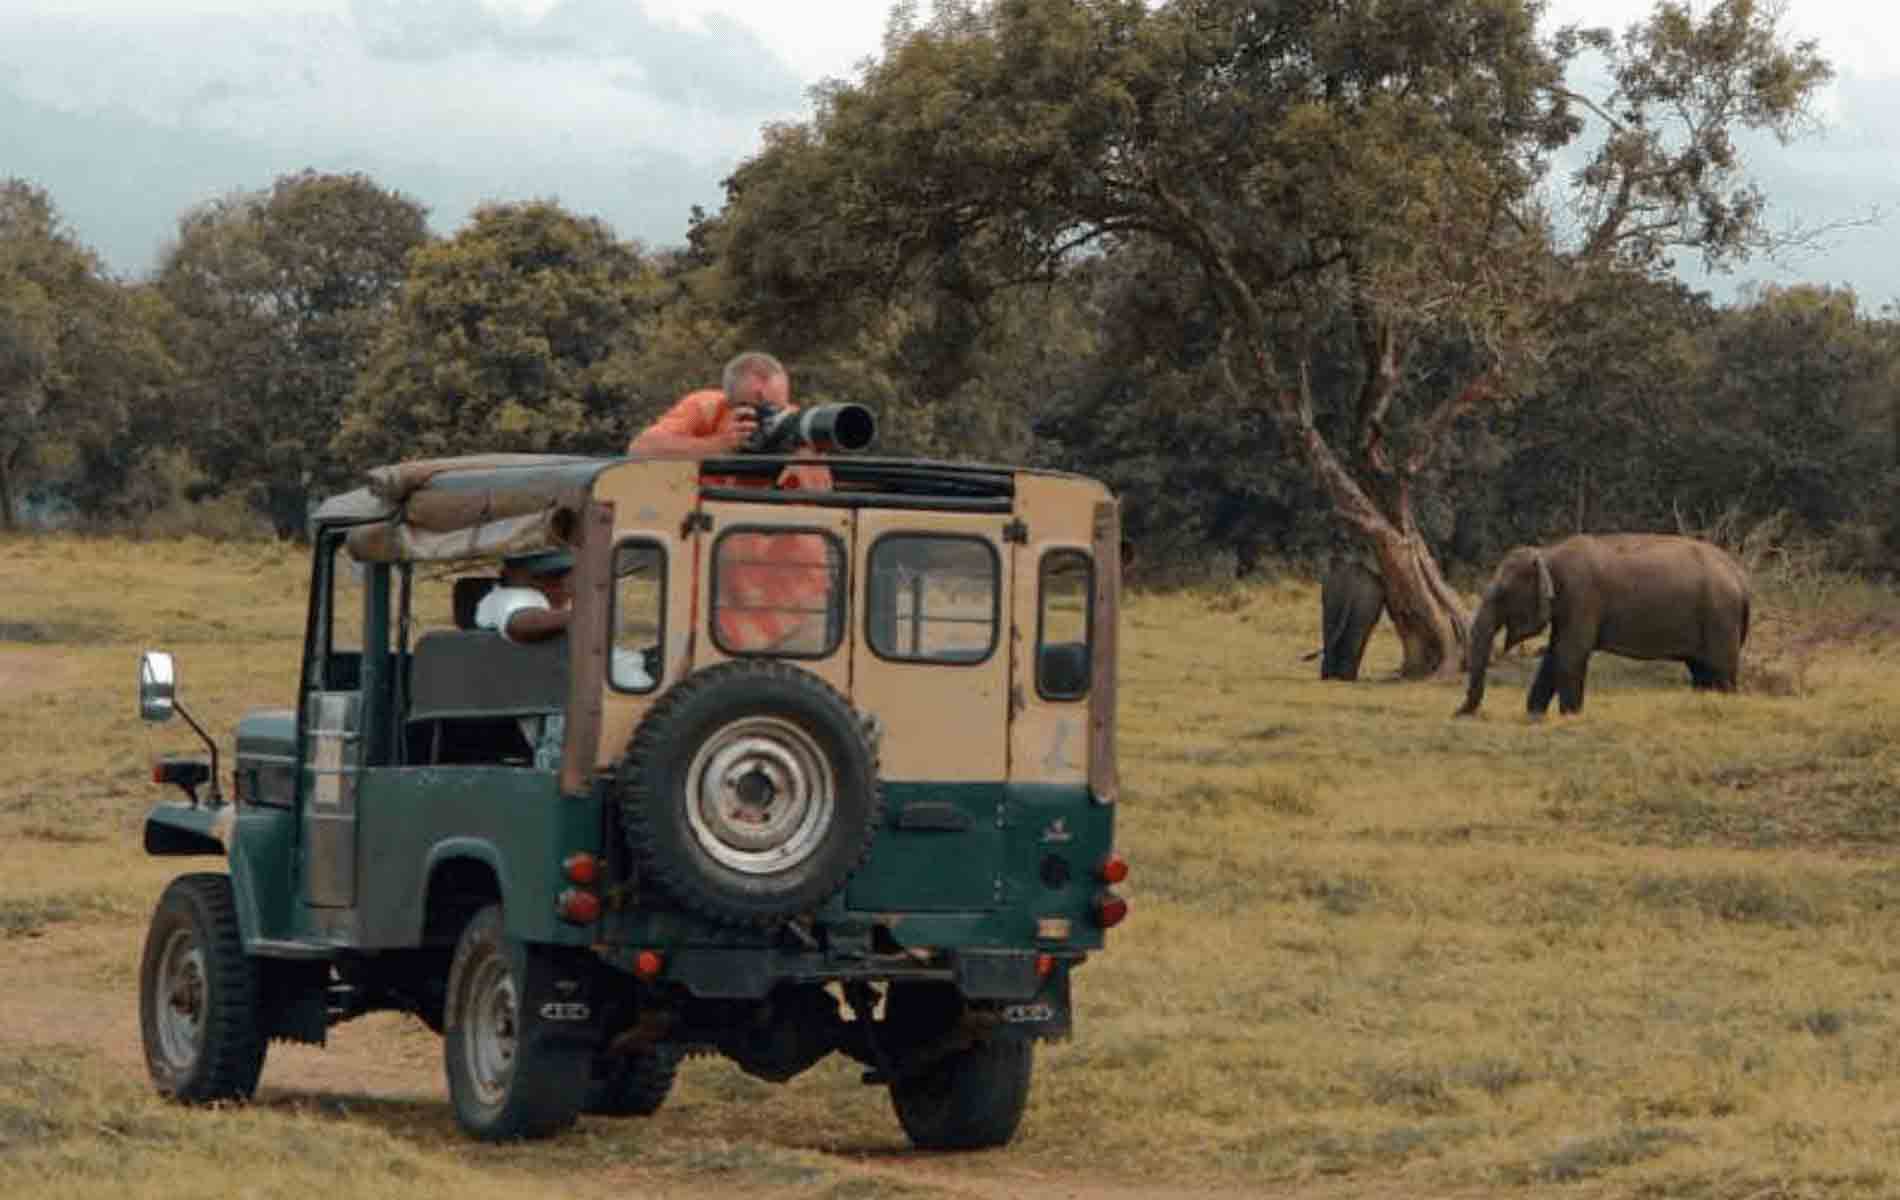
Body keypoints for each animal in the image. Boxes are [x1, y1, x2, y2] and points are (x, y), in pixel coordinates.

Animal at [1451, 531, 1748, 717]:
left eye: (1501, 594)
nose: (1458, 713)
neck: (1548, 553)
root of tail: (1740, 576)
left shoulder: (1581, 596)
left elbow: (1570, 653)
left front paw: (1569, 716)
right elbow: (1553, 654)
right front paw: (1534, 715)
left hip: (1720, 618)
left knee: (1720, 672)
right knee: (1701, 671)